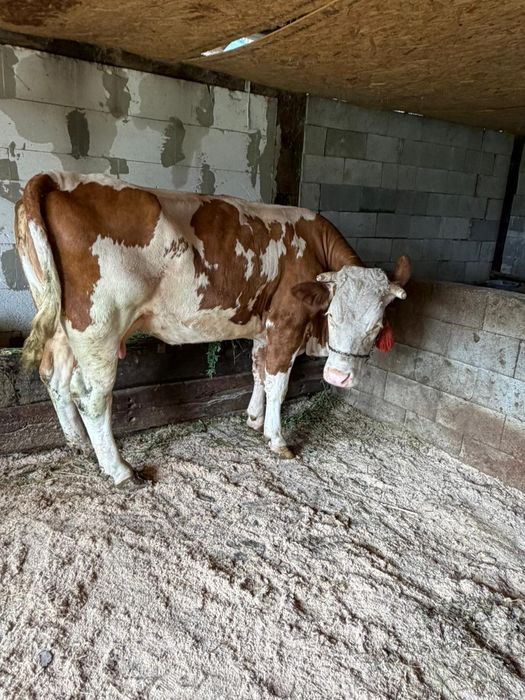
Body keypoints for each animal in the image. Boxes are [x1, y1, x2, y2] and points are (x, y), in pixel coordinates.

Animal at [15, 172, 411, 489]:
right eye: (331, 316)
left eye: (377, 325)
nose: (338, 377)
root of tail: (59, 179)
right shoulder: (285, 324)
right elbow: (278, 384)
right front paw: (277, 438)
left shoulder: (264, 329)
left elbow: (259, 372)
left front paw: (253, 419)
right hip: (99, 327)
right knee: (91, 396)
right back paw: (120, 471)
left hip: (61, 329)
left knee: (55, 378)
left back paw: (80, 445)